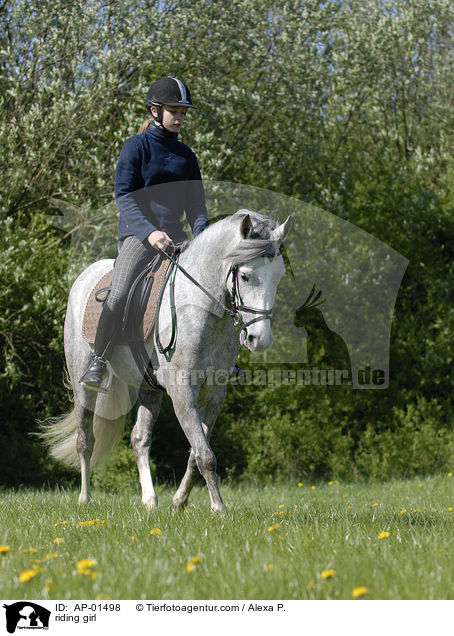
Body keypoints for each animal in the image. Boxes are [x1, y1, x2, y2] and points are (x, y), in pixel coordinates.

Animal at [41, 209, 290, 512]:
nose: (259, 339)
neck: (202, 310)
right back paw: (85, 498)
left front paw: (179, 502)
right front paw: (219, 509)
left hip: (149, 387)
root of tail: (85, 276)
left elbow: (196, 453)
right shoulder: (182, 391)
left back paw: (150, 500)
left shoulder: (214, 393)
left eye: (279, 276)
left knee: (139, 438)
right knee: (85, 439)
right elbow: (205, 454)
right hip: (84, 386)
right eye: (244, 275)